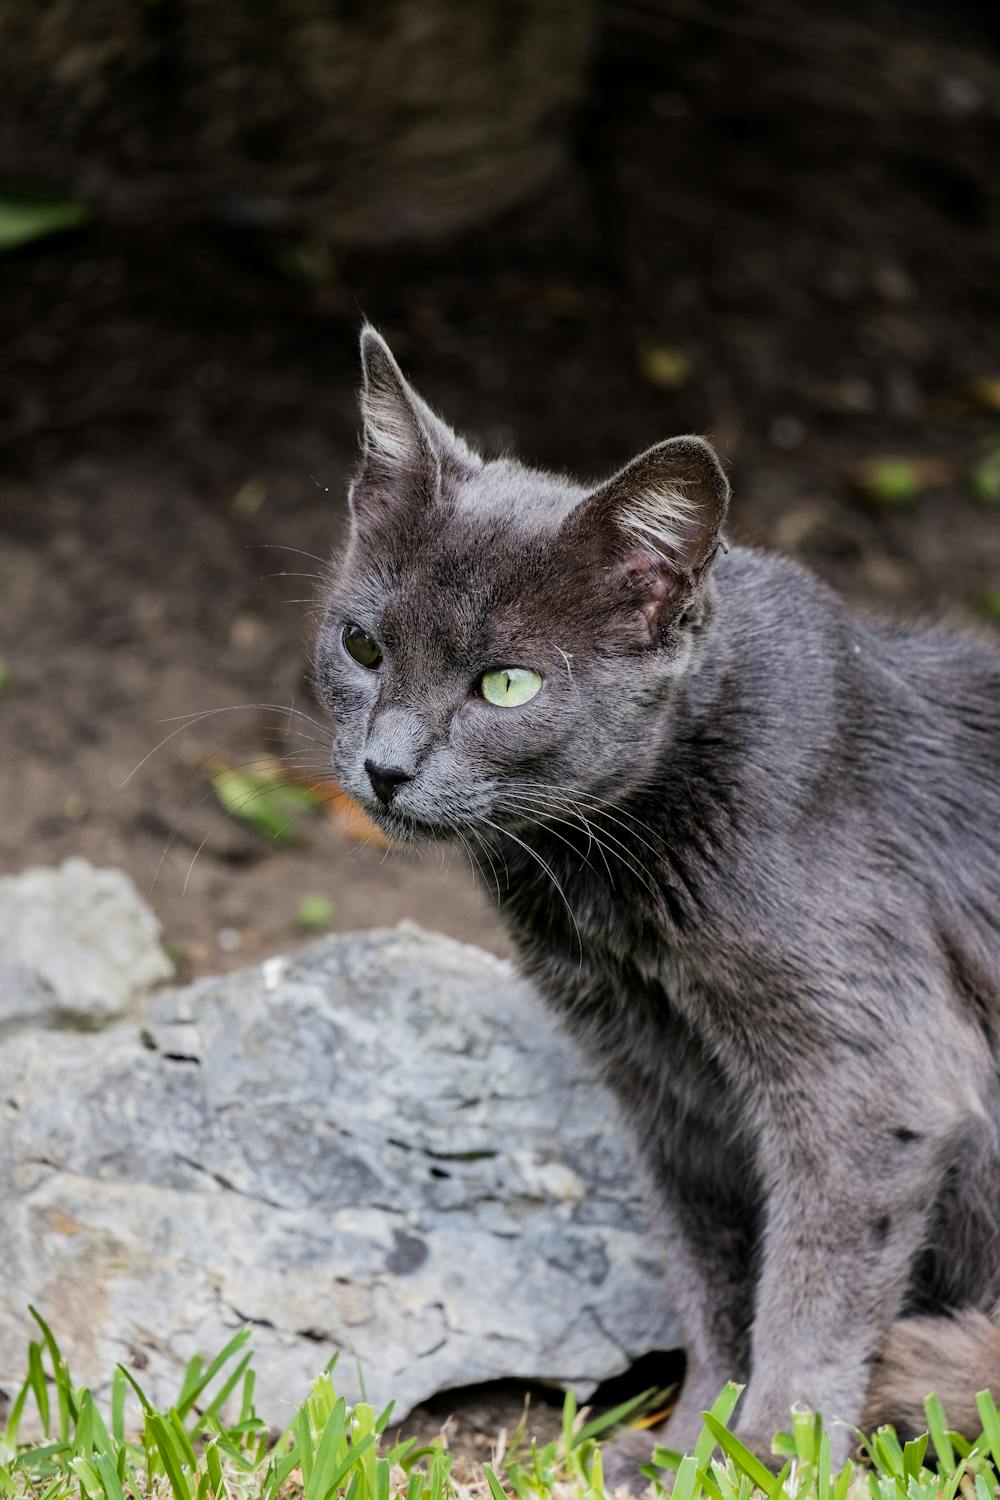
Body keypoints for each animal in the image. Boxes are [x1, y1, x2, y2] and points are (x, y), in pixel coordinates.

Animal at [316, 331, 1000, 1476]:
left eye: (507, 686)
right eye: (362, 646)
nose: (385, 768)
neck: (607, 896)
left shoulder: (875, 1082)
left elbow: (807, 1290)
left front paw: (766, 1457)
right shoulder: (663, 1087)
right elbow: (710, 1273)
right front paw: (686, 1446)